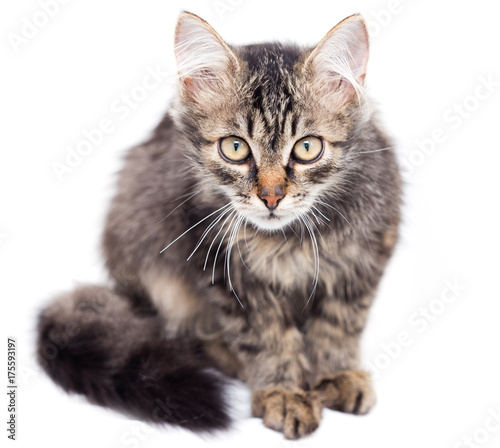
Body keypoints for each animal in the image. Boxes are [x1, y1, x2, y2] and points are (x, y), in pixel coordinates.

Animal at [36, 11, 402, 440]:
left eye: (308, 148)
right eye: (235, 148)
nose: (272, 197)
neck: (287, 238)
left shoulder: (363, 259)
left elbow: (339, 325)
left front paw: (336, 373)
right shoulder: (224, 268)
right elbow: (266, 337)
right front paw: (283, 391)